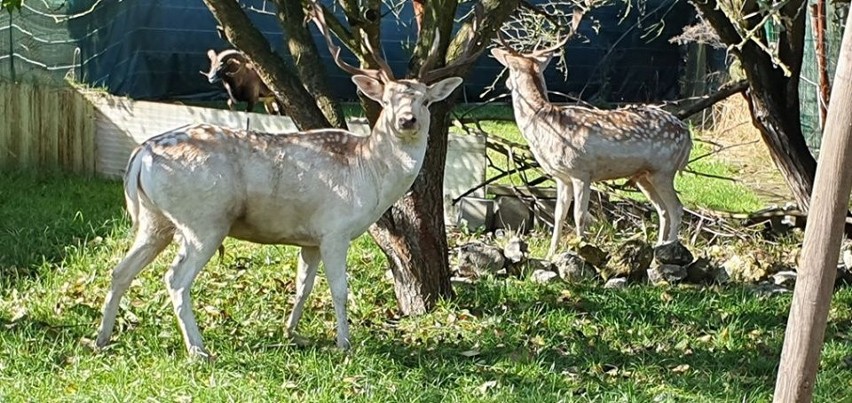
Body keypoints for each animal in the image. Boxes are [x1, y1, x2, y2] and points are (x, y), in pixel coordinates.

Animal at [97, 5, 470, 360]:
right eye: (388, 100)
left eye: (425, 100)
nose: (407, 120)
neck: (368, 172)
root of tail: (141, 155)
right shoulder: (335, 229)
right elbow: (339, 289)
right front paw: (344, 344)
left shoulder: (310, 239)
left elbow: (303, 285)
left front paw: (292, 333)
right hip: (203, 221)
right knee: (175, 278)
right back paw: (199, 350)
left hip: (154, 220)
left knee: (120, 270)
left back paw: (101, 339)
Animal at [492, 18, 692, 258]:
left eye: (509, 69)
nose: (506, 84)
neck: (544, 126)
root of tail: (688, 135)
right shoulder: (562, 176)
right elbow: (558, 215)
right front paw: (550, 254)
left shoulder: (581, 171)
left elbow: (579, 215)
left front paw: (581, 249)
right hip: (644, 176)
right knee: (662, 210)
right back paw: (659, 247)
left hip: (664, 169)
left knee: (676, 208)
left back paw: (670, 248)